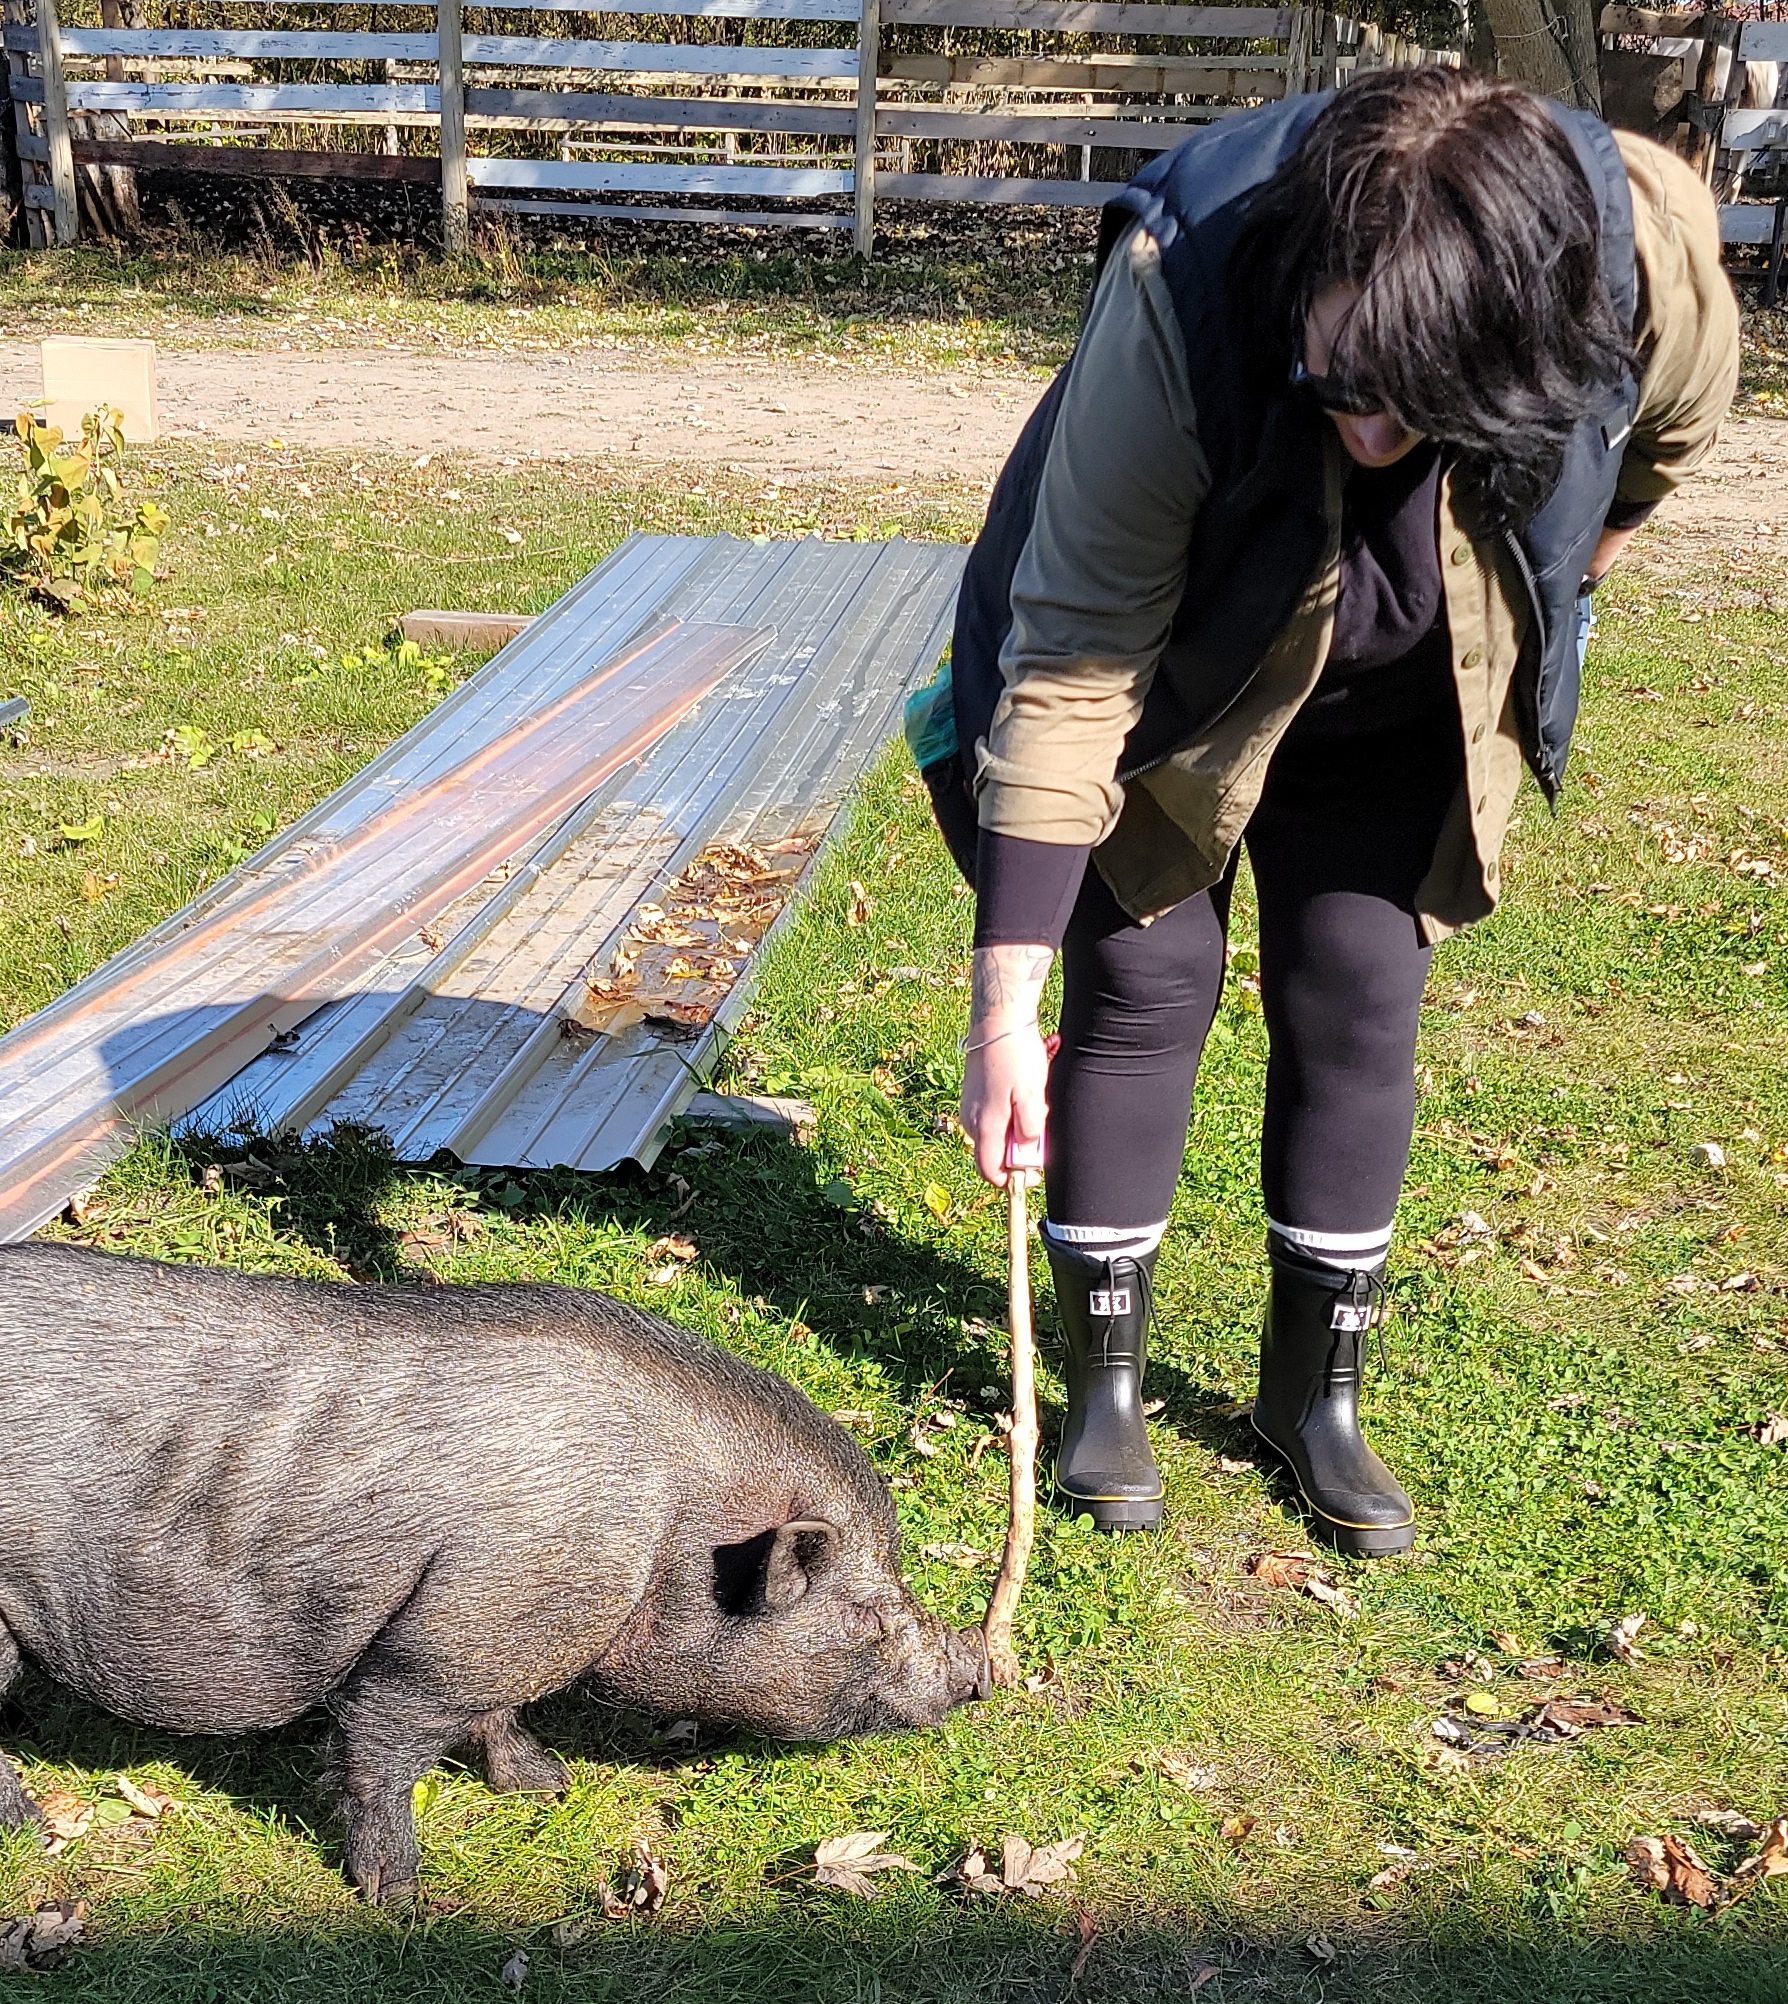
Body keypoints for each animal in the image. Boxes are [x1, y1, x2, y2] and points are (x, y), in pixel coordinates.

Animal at [0, 1243, 987, 1901]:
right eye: (872, 1616)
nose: (979, 1678)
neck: (666, 1535)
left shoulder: (513, 1638)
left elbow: (499, 1717)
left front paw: (546, 1784)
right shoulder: (446, 1640)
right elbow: (384, 1750)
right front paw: (400, 1899)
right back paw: (35, 1836)